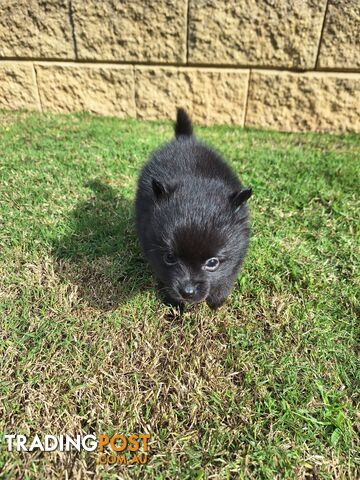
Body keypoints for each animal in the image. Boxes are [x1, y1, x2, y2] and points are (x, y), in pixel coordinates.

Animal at [136, 109, 253, 310]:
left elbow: (227, 277)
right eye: (169, 257)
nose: (187, 292)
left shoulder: (237, 254)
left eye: (212, 263)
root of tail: (185, 138)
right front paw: (174, 305)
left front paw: (217, 301)